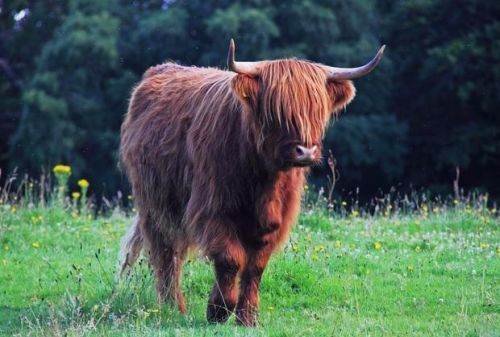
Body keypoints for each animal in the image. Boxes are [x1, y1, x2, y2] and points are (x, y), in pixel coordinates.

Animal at [118, 39, 382, 326]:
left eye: (317, 110)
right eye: (277, 110)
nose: (306, 151)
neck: (263, 179)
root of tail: (160, 69)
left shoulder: (275, 220)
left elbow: (255, 266)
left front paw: (247, 317)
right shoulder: (212, 209)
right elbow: (230, 258)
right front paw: (219, 310)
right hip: (156, 205)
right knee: (166, 253)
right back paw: (171, 307)